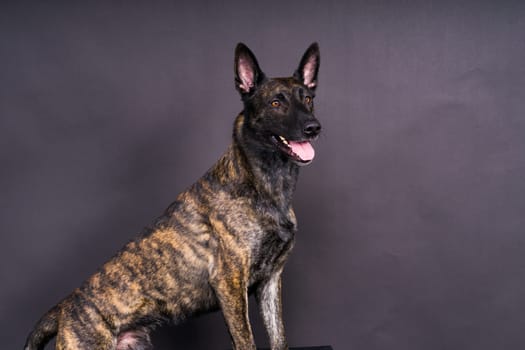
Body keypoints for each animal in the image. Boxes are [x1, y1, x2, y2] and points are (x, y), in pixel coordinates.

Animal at [24, 43, 322, 350]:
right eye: (276, 103)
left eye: (308, 99)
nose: (313, 127)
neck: (263, 183)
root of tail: (65, 307)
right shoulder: (229, 283)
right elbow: (245, 340)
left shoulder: (270, 282)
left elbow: (279, 338)